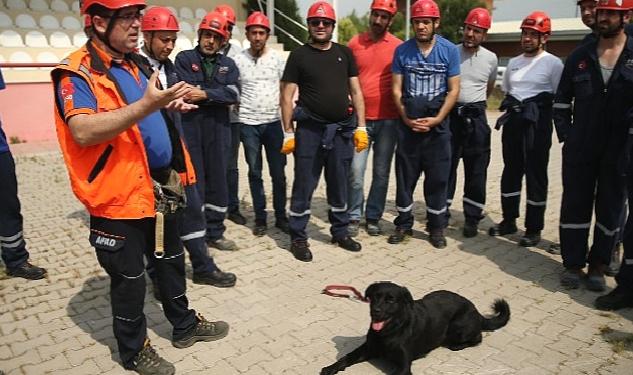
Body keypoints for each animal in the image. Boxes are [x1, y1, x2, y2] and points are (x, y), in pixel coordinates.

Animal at [320, 282, 508, 375]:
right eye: (374, 297)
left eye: (390, 300)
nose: (376, 311)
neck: (389, 332)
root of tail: (476, 310)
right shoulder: (368, 349)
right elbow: (346, 357)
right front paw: (330, 368)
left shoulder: (404, 366)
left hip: (458, 327)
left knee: (478, 337)